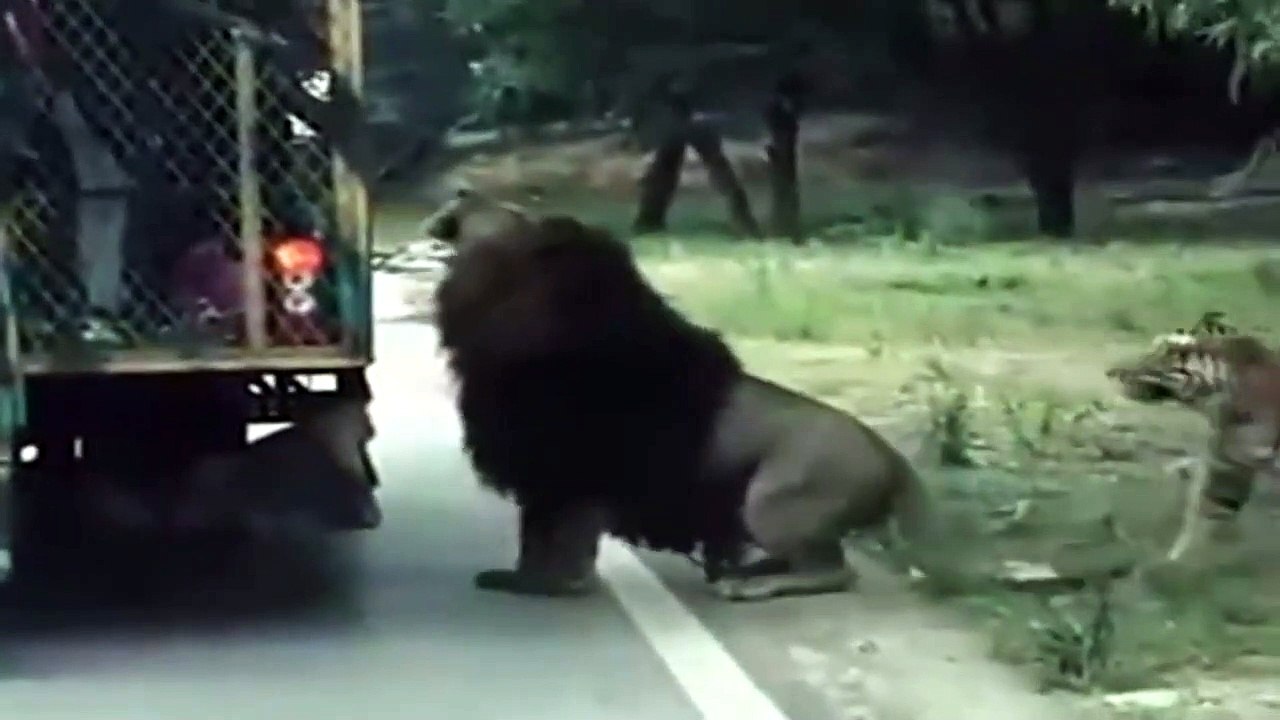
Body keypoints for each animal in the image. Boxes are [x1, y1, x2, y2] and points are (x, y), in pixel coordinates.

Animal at [425, 188, 964, 601]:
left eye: (510, 210)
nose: (461, 190)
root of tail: (891, 454)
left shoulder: (568, 473)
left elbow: (556, 542)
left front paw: (547, 585)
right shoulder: (543, 472)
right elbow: (533, 537)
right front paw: (523, 577)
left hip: (773, 501)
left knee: (835, 570)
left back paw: (749, 586)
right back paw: (741, 571)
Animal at [1105, 312, 1280, 561]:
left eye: (1146, 361)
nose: (1112, 373)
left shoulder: (1239, 455)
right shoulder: (1228, 465)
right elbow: (1210, 506)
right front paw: (1174, 561)